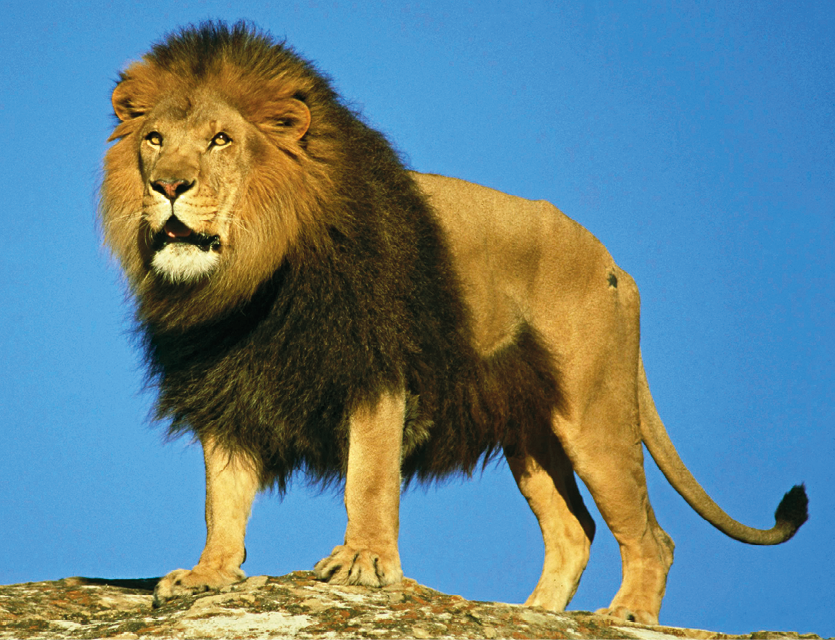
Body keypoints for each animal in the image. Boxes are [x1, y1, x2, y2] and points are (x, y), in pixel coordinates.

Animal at [99, 22, 808, 624]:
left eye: (221, 139)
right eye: (154, 140)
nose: (169, 186)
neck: (253, 277)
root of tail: (617, 266)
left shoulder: (376, 368)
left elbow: (369, 479)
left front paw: (363, 562)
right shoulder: (227, 387)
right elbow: (223, 495)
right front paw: (208, 574)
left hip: (594, 410)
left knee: (651, 536)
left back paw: (627, 616)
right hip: (531, 432)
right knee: (572, 531)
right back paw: (535, 614)